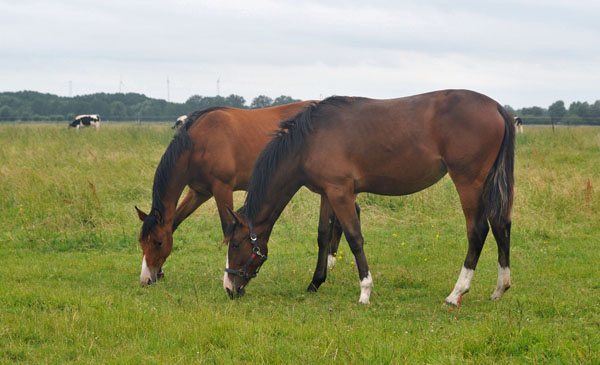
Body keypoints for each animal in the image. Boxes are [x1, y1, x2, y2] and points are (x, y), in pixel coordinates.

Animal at [135, 101, 352, 286]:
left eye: (158, 242)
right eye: (141, 241)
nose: (146, 279)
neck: (199, 142)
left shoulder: (222, 188)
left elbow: (227, 229)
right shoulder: (198, 193)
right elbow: (175, 223)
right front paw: (161, 272)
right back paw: (331, 262)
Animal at [225, 89, 516, 306]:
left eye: (236, 245)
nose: (229, 287)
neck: (309, 139)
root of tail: (497, 107)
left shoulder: (341, 193)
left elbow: (355, 238)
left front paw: (365, 291)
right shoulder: (328, 194)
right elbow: (323, 236)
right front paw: (315, 282)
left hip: (468, 183)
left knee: (477, 231)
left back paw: (456, 293)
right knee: (501, 225)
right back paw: (500, 288)